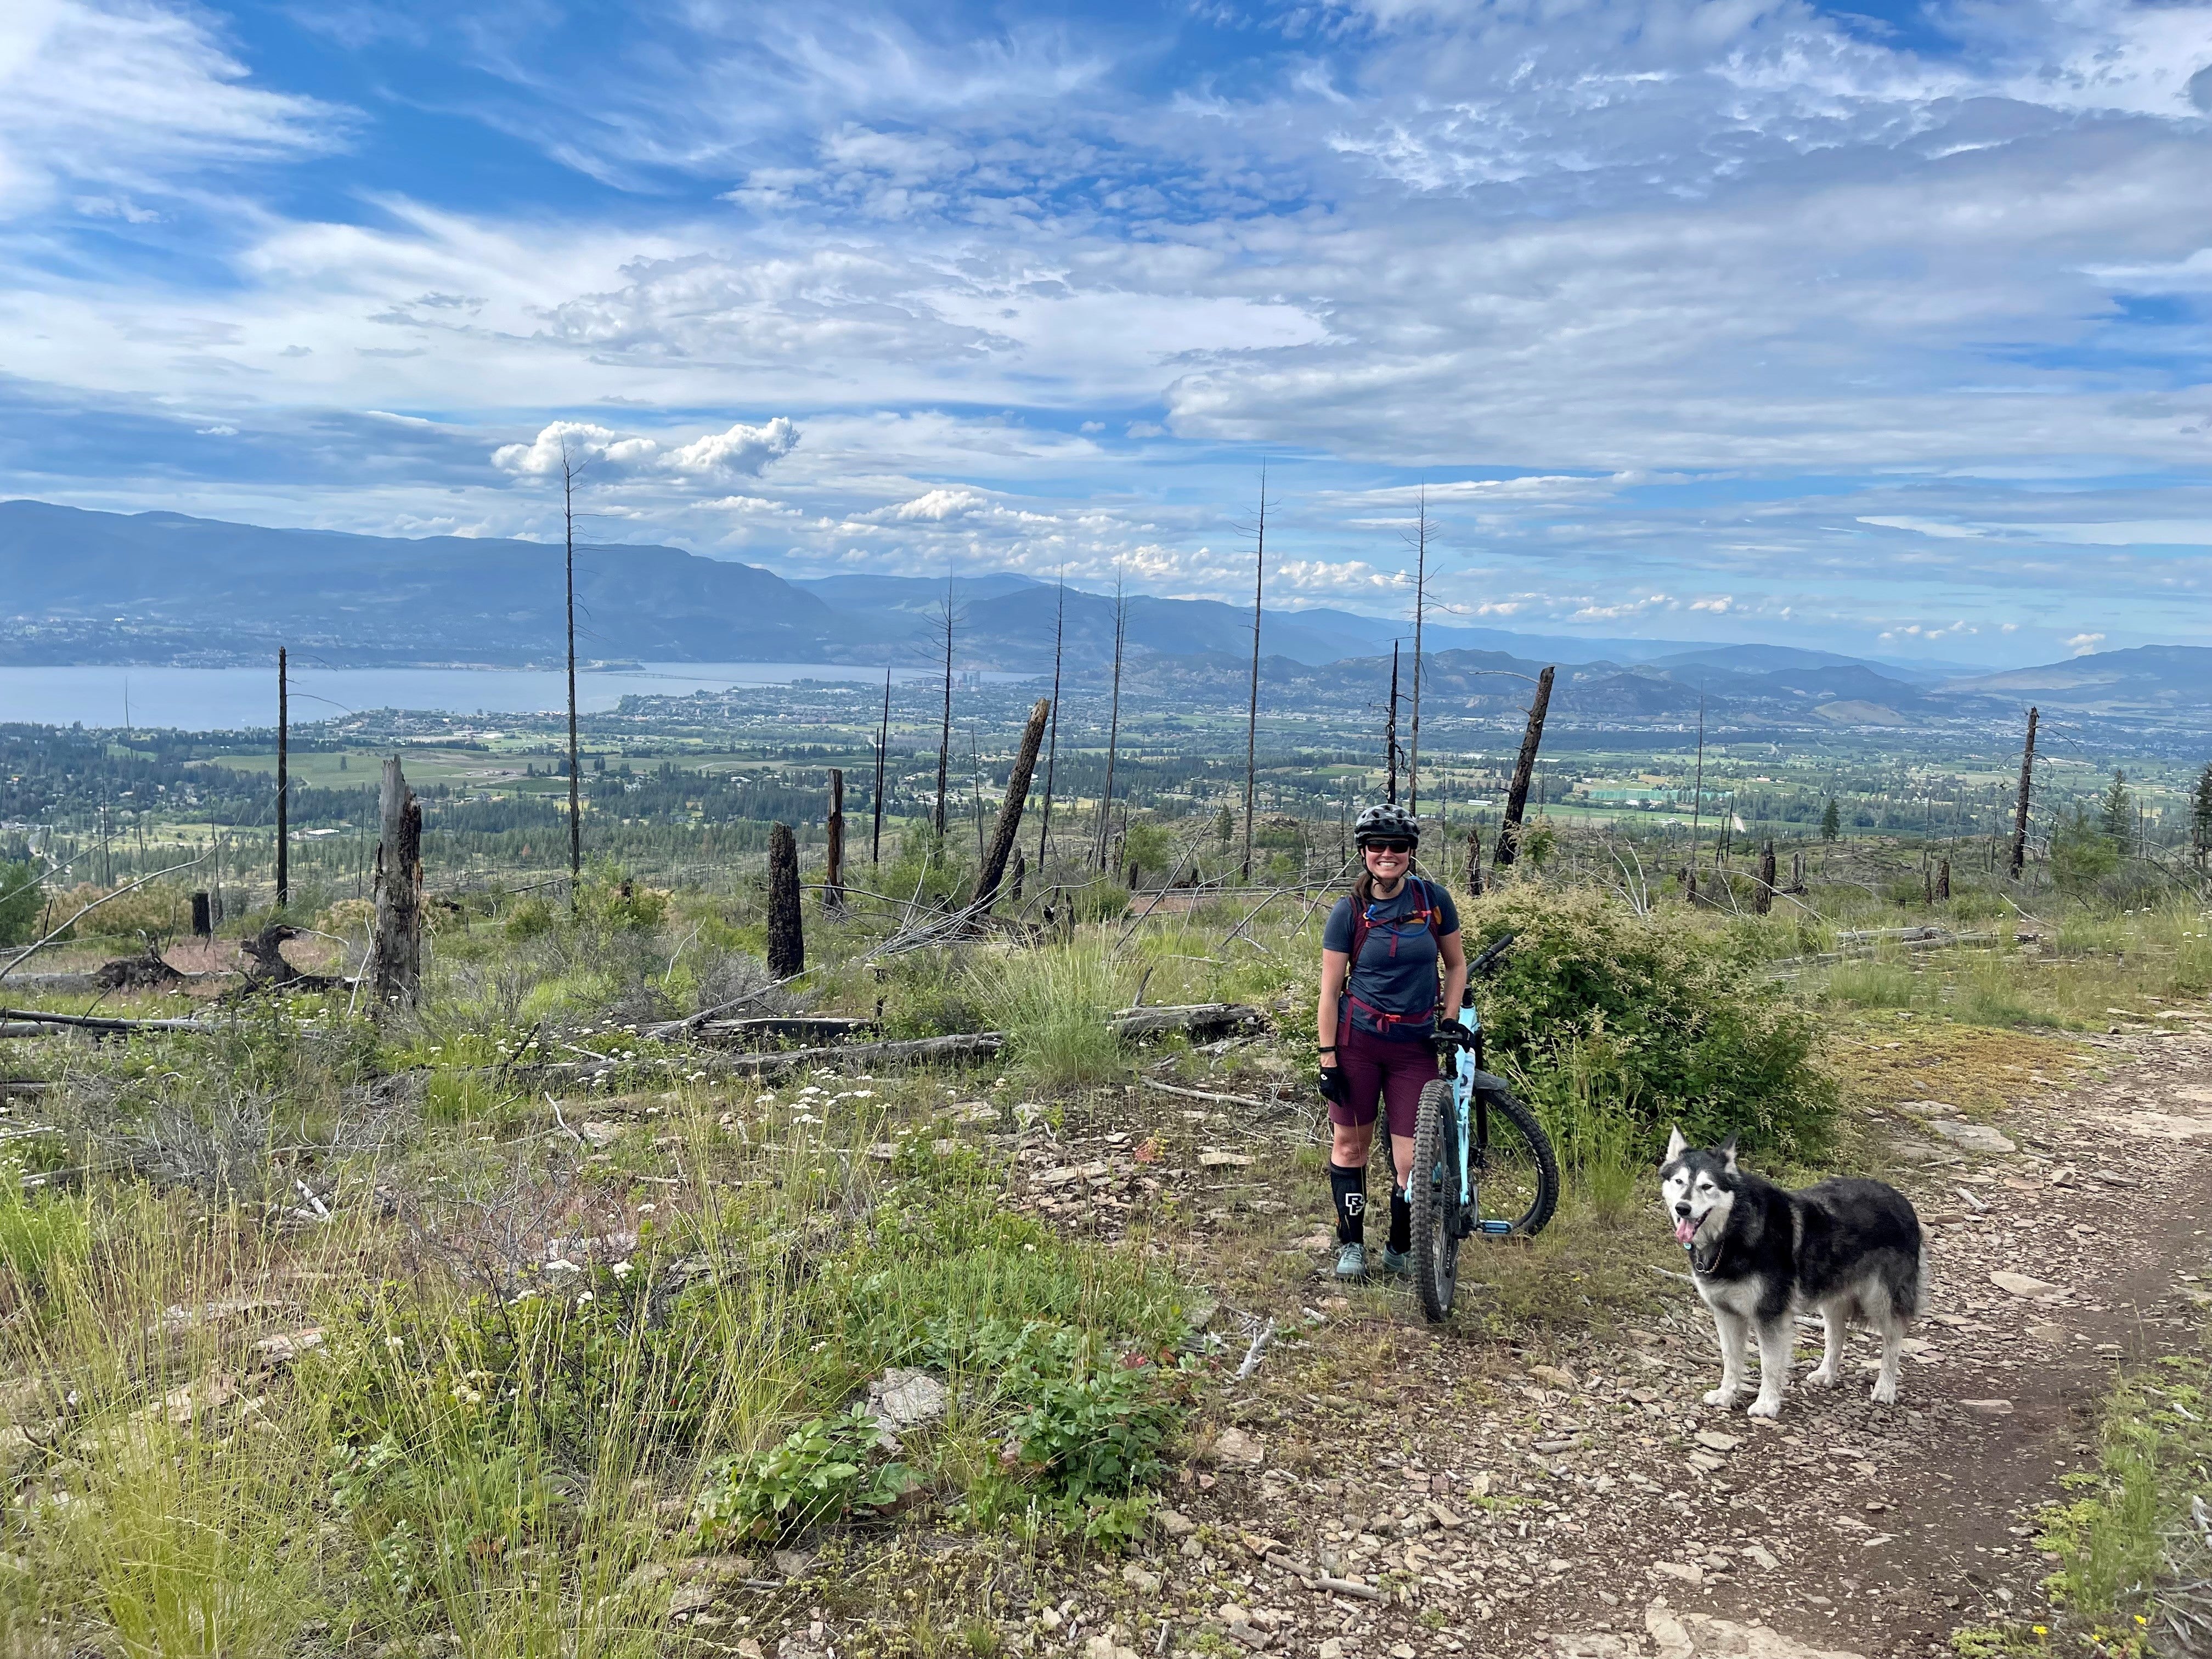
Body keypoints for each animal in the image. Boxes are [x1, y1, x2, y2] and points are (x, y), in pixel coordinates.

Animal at [1663, 1141, 1920, 1424]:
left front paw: (1766, 1404)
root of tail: (1901, 1199)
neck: (1734, 1227)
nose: (1683, 1208)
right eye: (1679, 1181)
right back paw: (1826, 1374)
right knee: (1836, 1334)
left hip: (1881, 1300)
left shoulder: (1770, 1315)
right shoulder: (1726, 1313)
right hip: (1833, 1296)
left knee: (1893, 1343)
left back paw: (1885, 1389)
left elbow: (1769, 1364)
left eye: (1707, 1186)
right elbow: (1730, 1359)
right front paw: (1726, 1394)